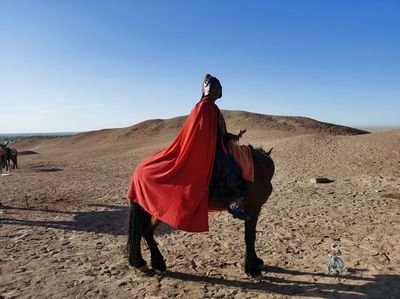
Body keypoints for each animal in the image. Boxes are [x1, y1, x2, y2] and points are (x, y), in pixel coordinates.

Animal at [128, 146, 276, 278]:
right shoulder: (254, 207)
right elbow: (250, 237)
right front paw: (253, 269)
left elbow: (250, 236)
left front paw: (255, 262)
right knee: (144, 232)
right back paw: (151, 264)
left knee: (144, 232)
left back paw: (148, 263)